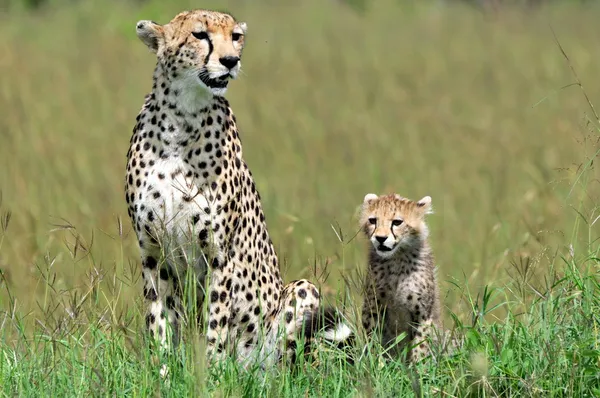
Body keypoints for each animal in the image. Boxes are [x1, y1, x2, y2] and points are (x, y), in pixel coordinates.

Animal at [125, 8, 342, 370]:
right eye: (200, 35)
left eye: (236, 37)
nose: (230, 60)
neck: (180, 119)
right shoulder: (153, 252)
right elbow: (159, 320)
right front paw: (163, 370)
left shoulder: (218, 254)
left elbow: (216, 324)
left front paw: (214, 374)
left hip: (301, 293)